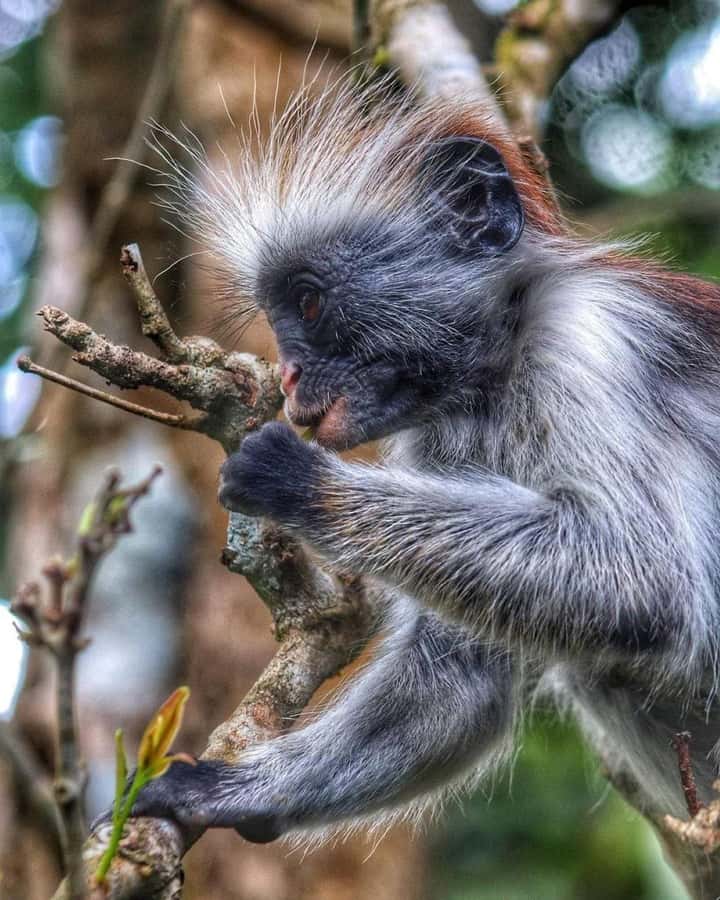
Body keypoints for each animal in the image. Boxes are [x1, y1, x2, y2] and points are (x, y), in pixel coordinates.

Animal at [130, 79, 720, 850]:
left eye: (309, 303)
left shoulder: (589, 336)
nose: (287, 377)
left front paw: (300, 484)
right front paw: (231, 794)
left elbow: (646, 576)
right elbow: (458, 678)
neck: (499, 368)